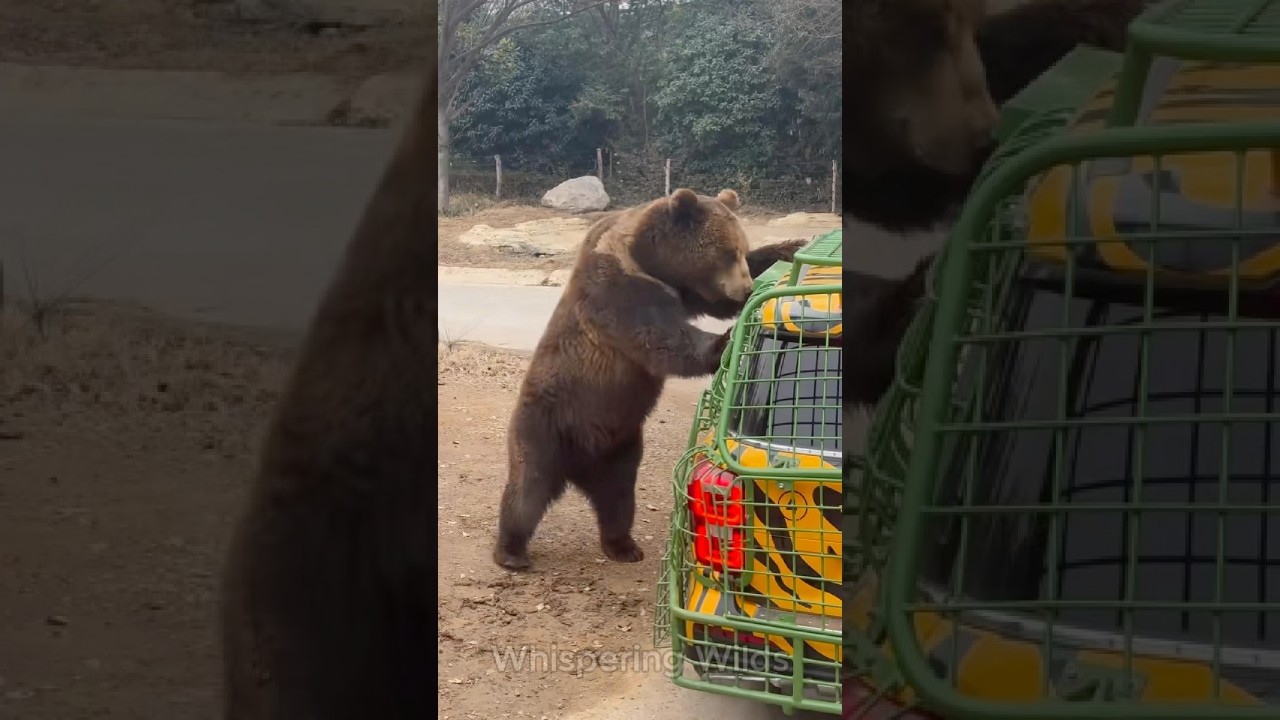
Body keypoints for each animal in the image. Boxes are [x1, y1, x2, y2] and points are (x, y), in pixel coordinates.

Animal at [492, 188, 807, 570]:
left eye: (741, 249)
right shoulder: (617, 289)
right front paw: (725, 340)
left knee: (618, 500)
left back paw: (624, 546)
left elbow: (710, 303)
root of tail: (580, 467)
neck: (648, 261)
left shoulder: (685, 290)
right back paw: (511, 552)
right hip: (546, 425)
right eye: (727, 253)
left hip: (620, 449)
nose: (745, 289)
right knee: (528, 490)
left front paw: (789, 247)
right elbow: (659, 337)